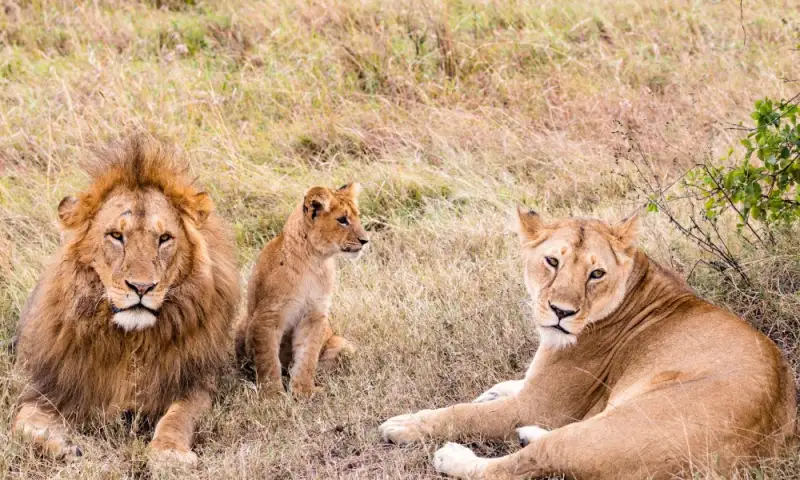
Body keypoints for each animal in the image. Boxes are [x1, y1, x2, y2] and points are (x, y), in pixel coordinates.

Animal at [12, 135, 239, 468]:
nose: (141, 287)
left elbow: (179, 417)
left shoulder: (195, 382)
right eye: (116, 236)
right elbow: (21, 425)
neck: (131, 342)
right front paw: (62, 446)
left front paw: (169, 452)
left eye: (164, 238)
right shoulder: (51, 387)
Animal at [235, 183, 367, 398]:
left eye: (357, 217)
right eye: (342, 220)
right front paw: (272, 396)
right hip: (243, 323)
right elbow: (268, 360)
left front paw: (303, 392)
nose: (365, 240)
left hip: (344, 345)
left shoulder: (314, 315)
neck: (314, 261)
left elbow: (308, 356)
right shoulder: (267, 316)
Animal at [379, 209, 796, 479]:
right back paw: (526, 433)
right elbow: (512, 384)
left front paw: (406, 423)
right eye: (552, 261)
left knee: (522, 465)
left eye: (596, 273)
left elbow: (463, 414)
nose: (561, 312)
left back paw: (454, 457)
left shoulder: (543, 405)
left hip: (614, 428)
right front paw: (494, 390)